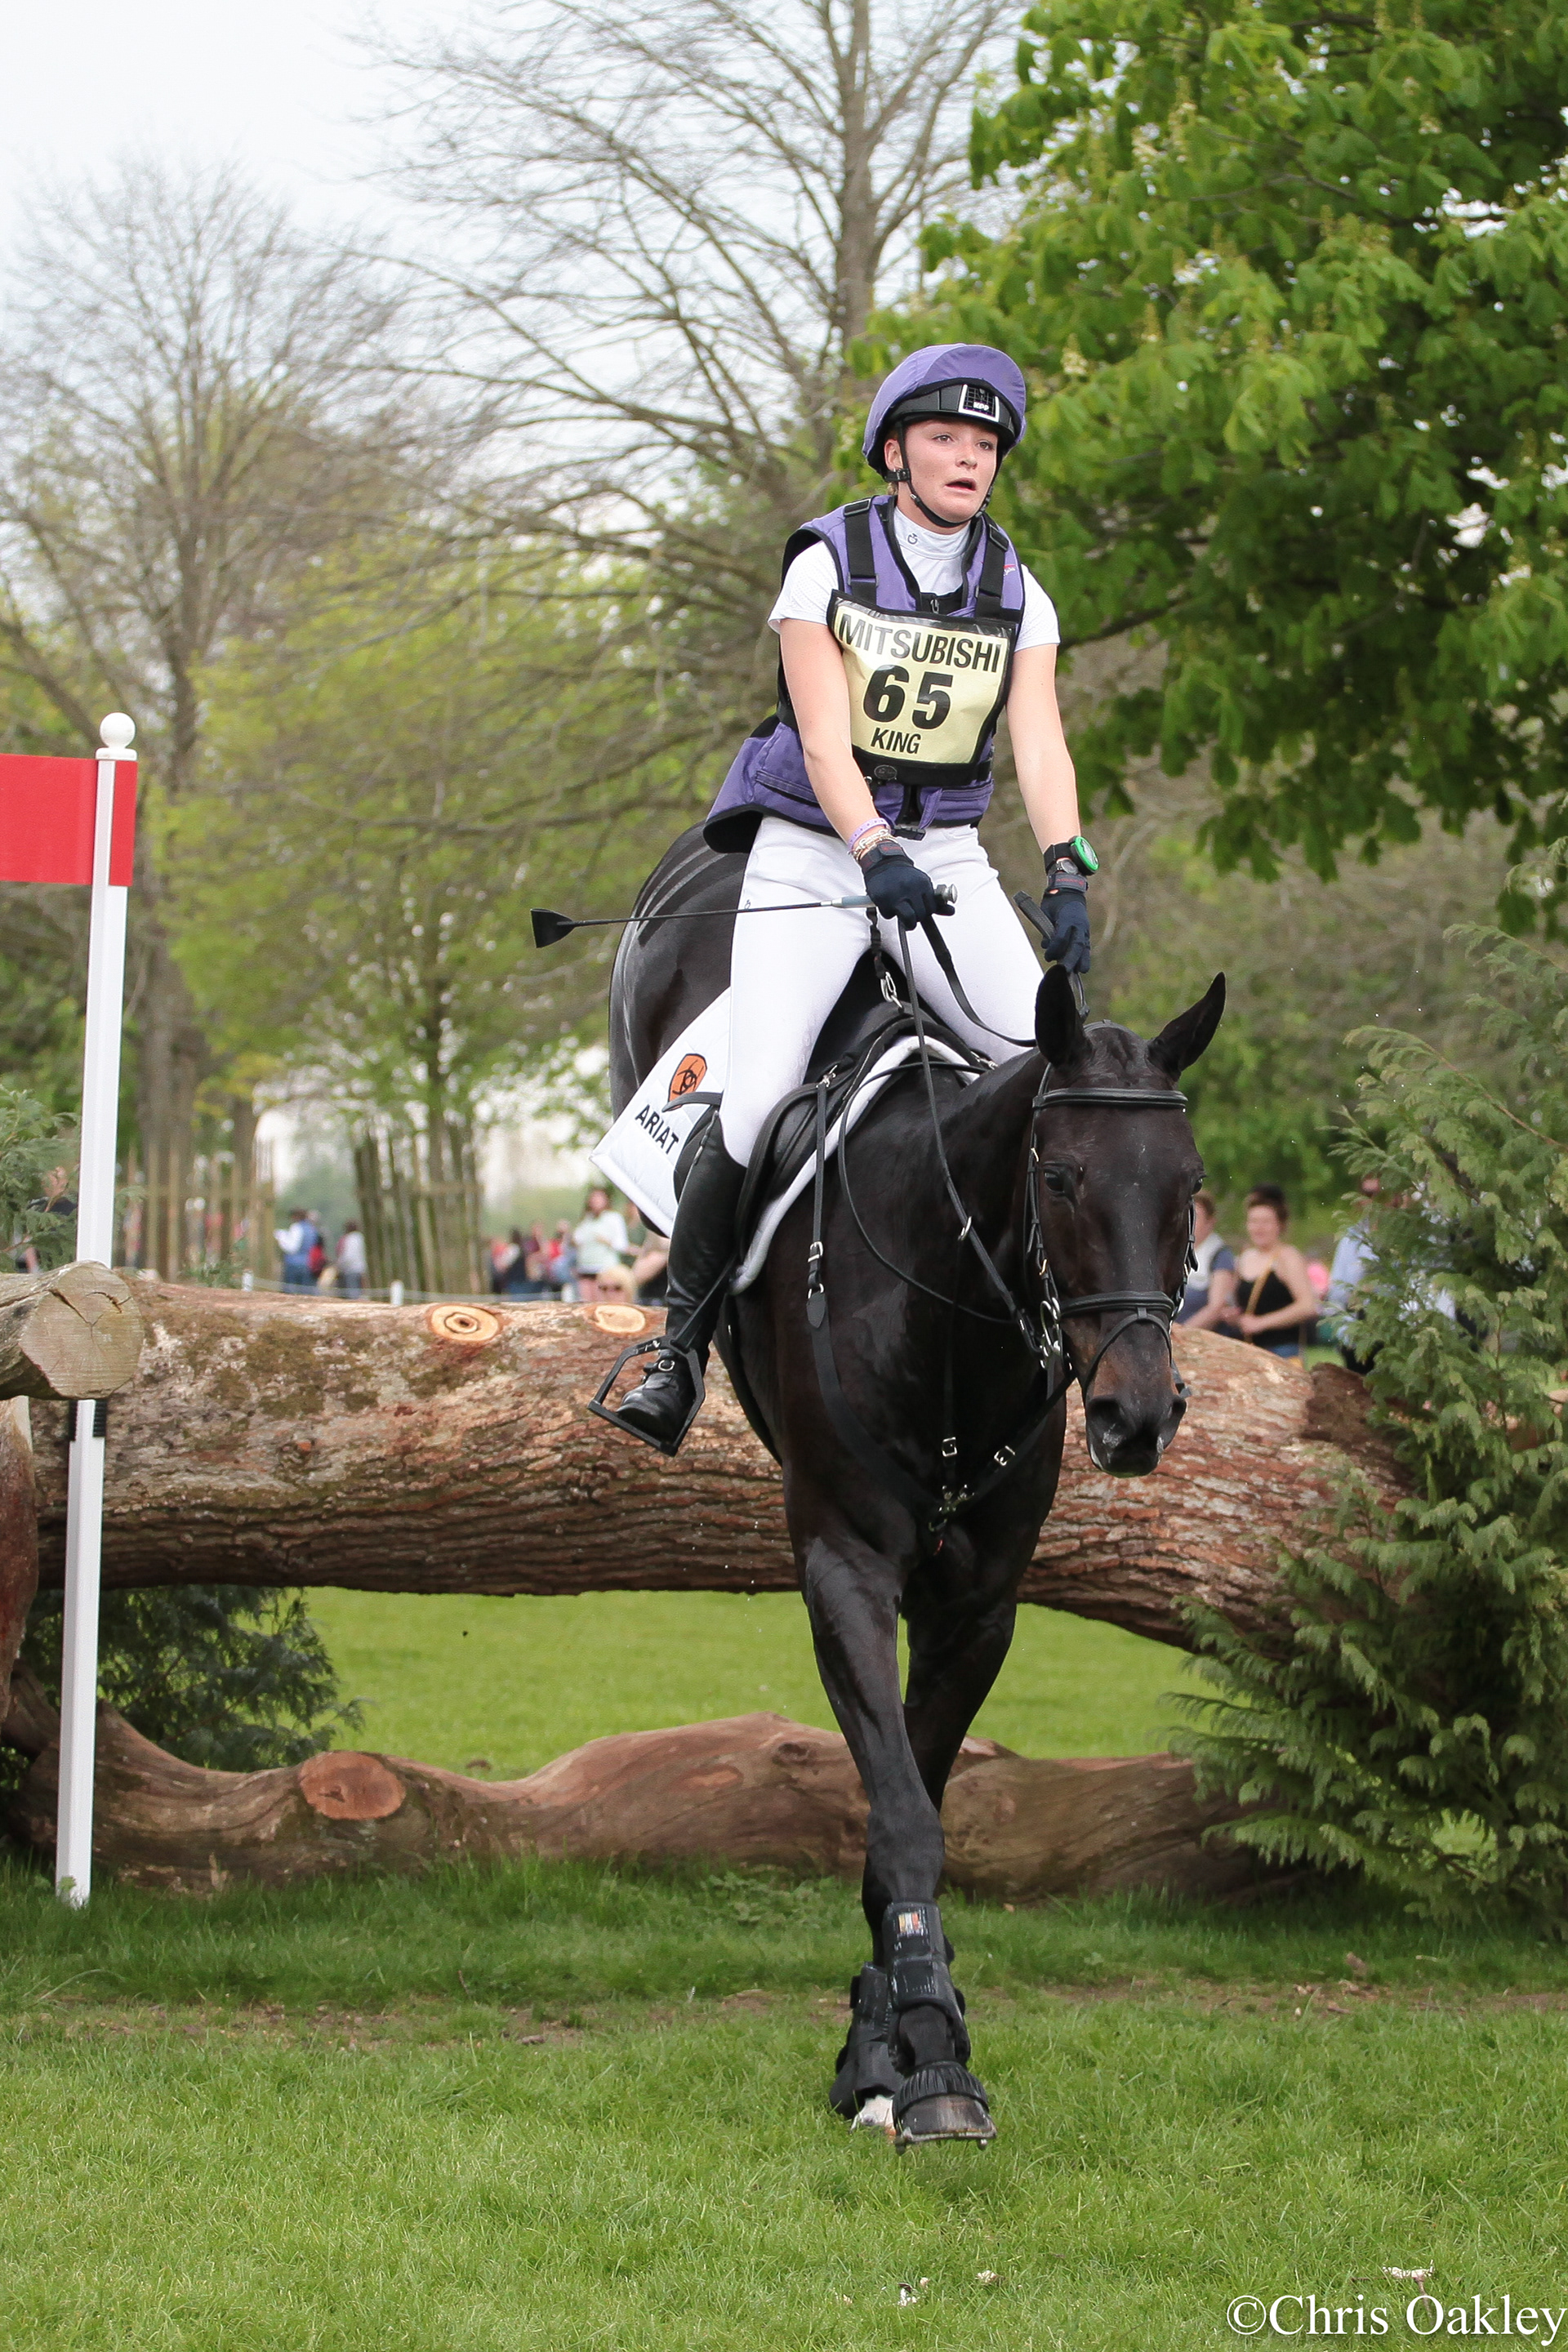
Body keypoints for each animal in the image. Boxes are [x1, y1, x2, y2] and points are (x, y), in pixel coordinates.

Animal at [607, 825, 1224, 2145]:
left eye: (1190, 1181)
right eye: (1060, 1177)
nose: (1137, 1415)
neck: (952, 1321)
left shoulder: (977, 1603)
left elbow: (921, 1793)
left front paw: (884, 2038)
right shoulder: (847, 1568)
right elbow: (900, 1813)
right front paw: (926, 2055)